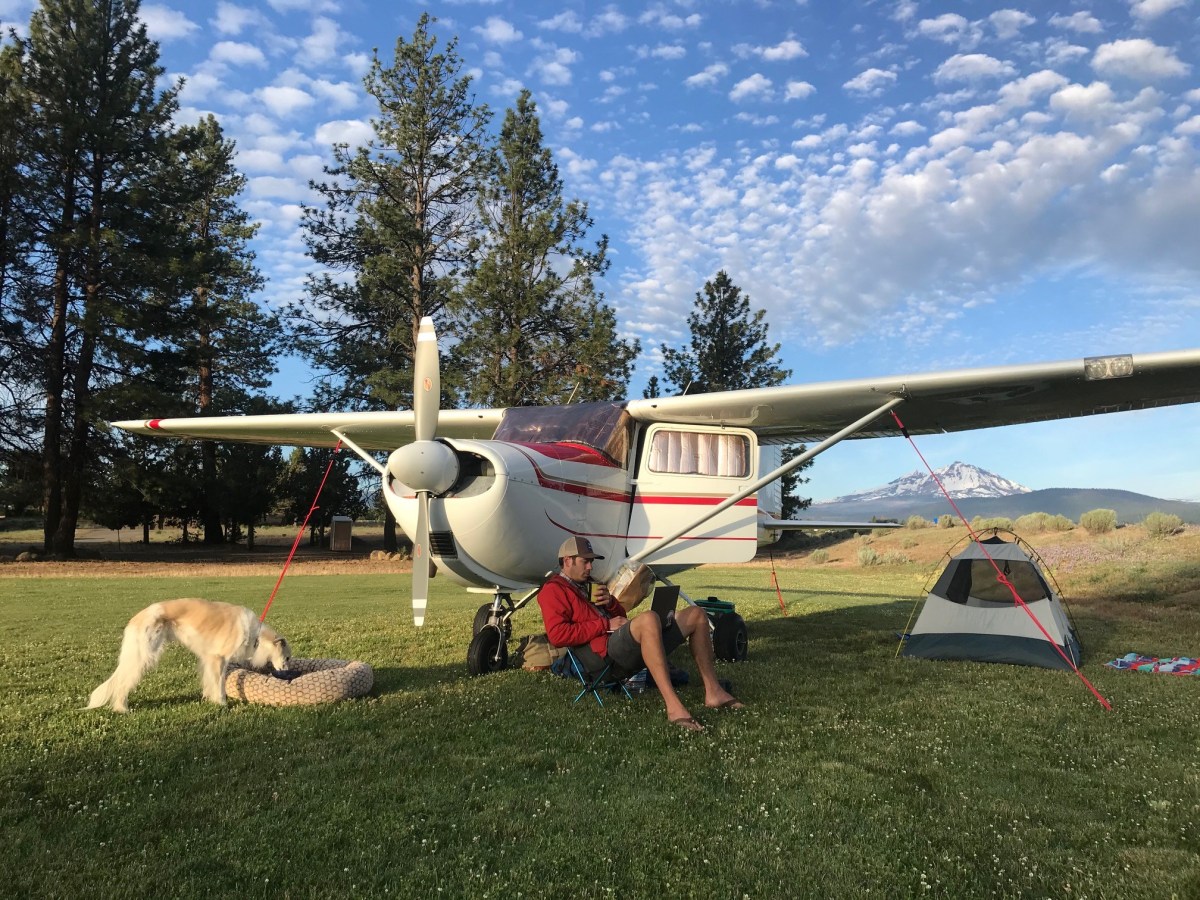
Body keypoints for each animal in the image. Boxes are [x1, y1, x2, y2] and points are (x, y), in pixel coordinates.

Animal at [87, 602, 290, 715]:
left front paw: (210, 700)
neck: (256, 636)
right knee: (122, 684)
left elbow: (210, 683)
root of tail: (135, 620)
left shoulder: (208, 660)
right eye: (287, 658)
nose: (288, 674)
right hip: (143, 657)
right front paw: (222, 704)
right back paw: (122, 708)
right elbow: (219, 685)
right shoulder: (218, 659)